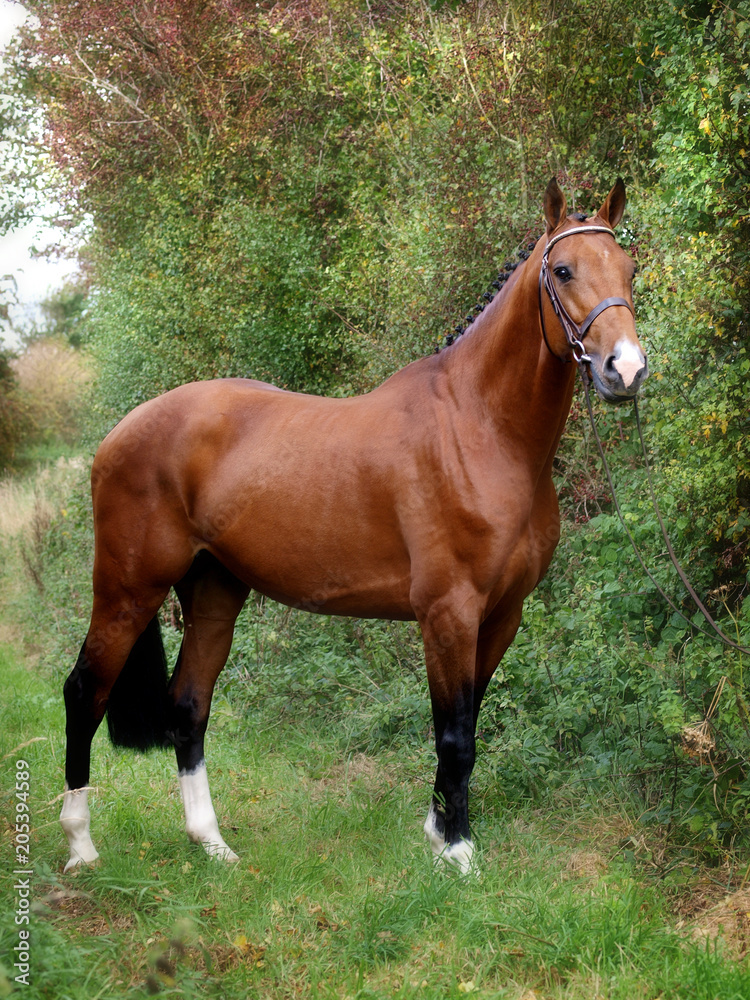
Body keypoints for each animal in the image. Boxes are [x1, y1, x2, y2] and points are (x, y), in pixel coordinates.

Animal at [60, 178, 648, 875]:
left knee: (188, 707)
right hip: (126, 591)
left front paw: (438, 832)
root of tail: (120, 432)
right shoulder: (448, 613)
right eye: (562, 271)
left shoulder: (502, 615)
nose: (626, 370)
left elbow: (466, 723)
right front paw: (459, 854)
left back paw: (213, 844)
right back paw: (81, 847)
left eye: (630, 269)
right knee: (84, 693)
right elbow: (455, 735)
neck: (480, 428)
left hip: (213, 593)